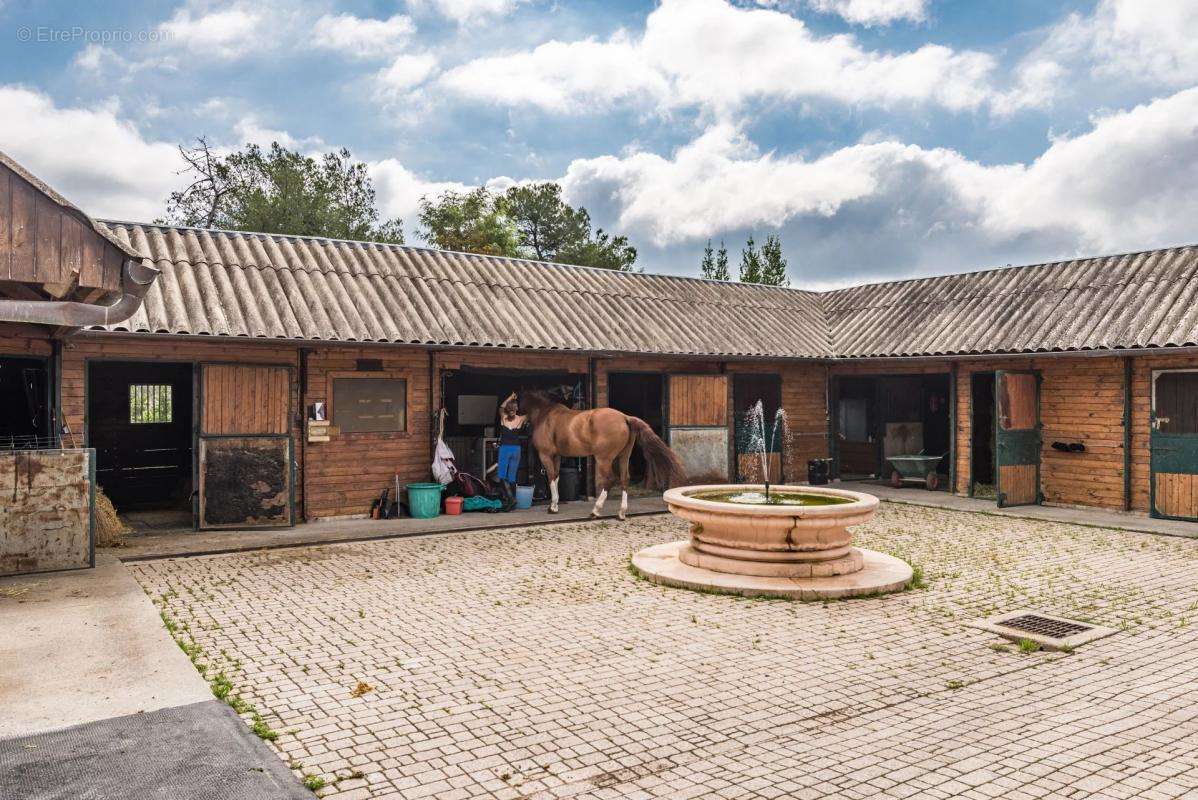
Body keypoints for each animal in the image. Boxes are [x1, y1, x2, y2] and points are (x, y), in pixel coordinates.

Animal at [500, 388, 690, 519]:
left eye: (513, 397)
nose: (503, 409)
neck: (545, 415)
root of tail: (625, 418)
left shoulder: (546, 455)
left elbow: (552, 477)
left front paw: (552, 507)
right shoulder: (557, 456)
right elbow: (557, 477)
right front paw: (555, 504)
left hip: (604, 459)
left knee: (610, 480)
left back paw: (596, 511)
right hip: (623, 457)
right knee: (624, 479)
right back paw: (621, 513)